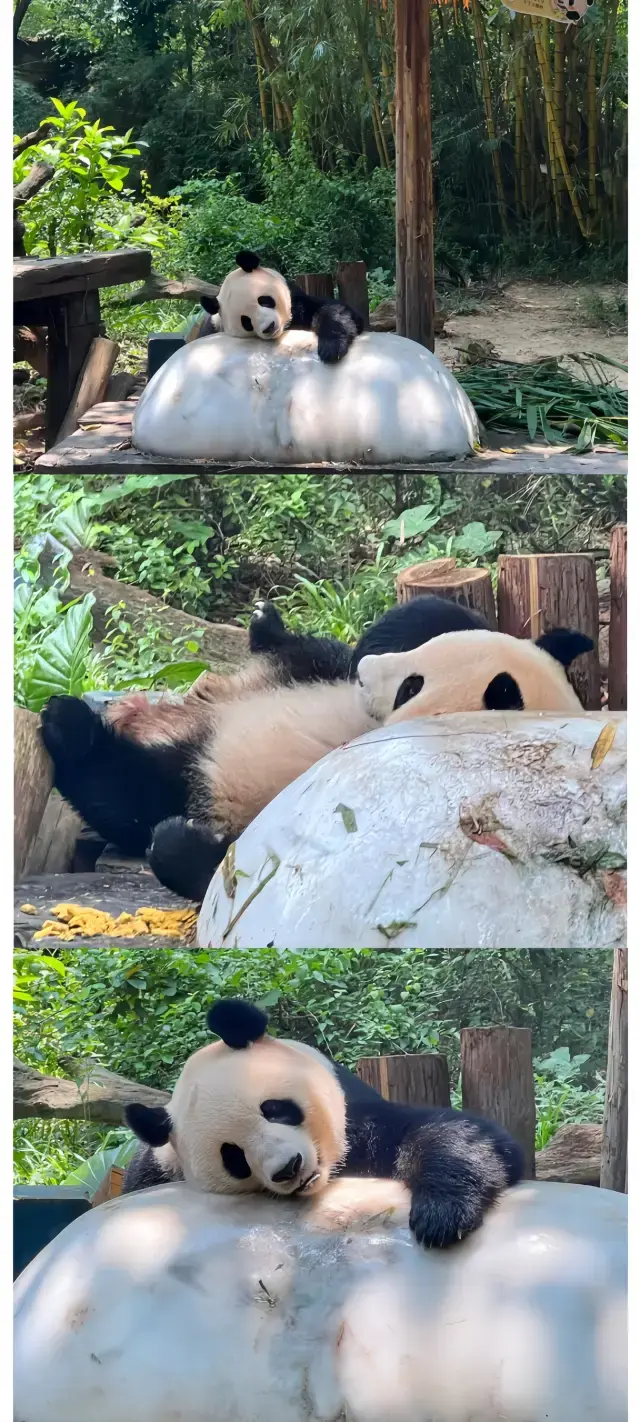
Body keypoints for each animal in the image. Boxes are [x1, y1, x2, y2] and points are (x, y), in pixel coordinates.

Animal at [39, 596, 593, 901]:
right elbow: (437, 618)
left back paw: (71, 727)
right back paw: (267, 626)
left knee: (128, 789)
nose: (367, 669)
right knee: (310, 653)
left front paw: (178, 843)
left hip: (203, 773)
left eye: (411, 685)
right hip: (296, 681)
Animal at [122, 997, 524, 1250]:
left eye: (274, 1109)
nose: (289, 1168)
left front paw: (440, 1215)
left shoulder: (359, 1120)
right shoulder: (159, 1163)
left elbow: (450, 1133)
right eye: (233, 1157)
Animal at [186, 250, 365, 364]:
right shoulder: (212, 326)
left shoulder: (297, 302)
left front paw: (331, 348)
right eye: (246, 322)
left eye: (264, 301)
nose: (269, 327)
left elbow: (334, 310)